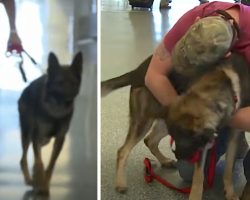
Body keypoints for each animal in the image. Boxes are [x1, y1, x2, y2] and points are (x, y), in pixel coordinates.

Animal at [19, 52, 83, 195]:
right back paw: (30, 179)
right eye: (60, 83)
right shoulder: (37, 137)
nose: (69, 101)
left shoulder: (59, 139)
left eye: (73, 84)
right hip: (27, 134)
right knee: (23, 158)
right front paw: (41, 185)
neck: (55, 111)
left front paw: (44, 183)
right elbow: (39, 163)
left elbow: (51, 165)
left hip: (45, 140)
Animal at [101, 53, 250, 200]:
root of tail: (137, 70)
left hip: (164, 118)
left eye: (185, 142)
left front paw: (230, 192)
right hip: (144, 121)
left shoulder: (232, 136)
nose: (179, 157)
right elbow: (198, 177)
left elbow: (229, 169)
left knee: (150, 140)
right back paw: (120, 183)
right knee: (123, 151)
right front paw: (195, 196)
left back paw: (165, 161)